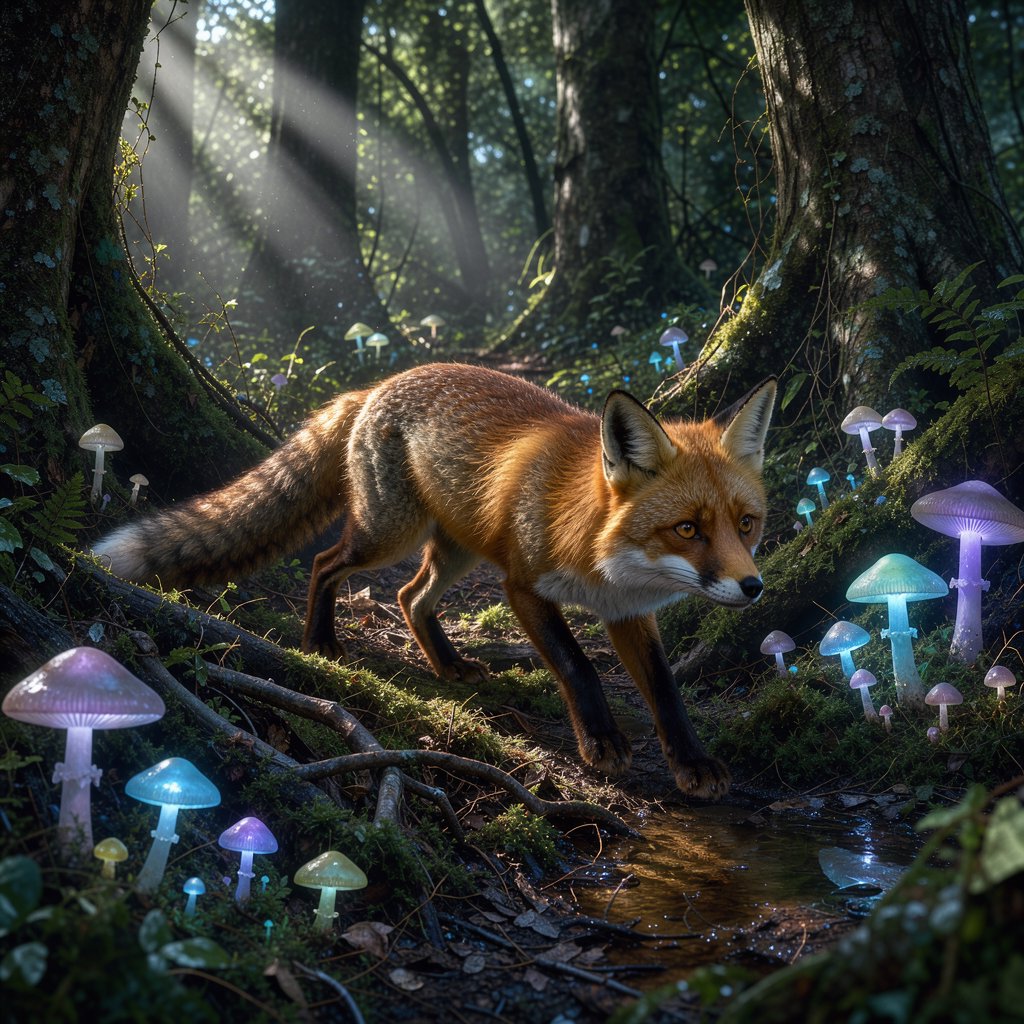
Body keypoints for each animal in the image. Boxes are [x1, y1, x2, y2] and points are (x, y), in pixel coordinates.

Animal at [93, 363, 776, 799]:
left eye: (746, 525)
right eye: (688, 529)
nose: (754, 588)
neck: (595, 543)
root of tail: (375, 385)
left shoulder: (627, 612)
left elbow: (665, 691)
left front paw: (691, 762)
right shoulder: (523, 587)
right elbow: (577, 666)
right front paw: (600, 741)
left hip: (457, 551)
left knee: (407, 596)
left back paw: (447, 664)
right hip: (388, 535)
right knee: (327, 564)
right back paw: (321, 642)